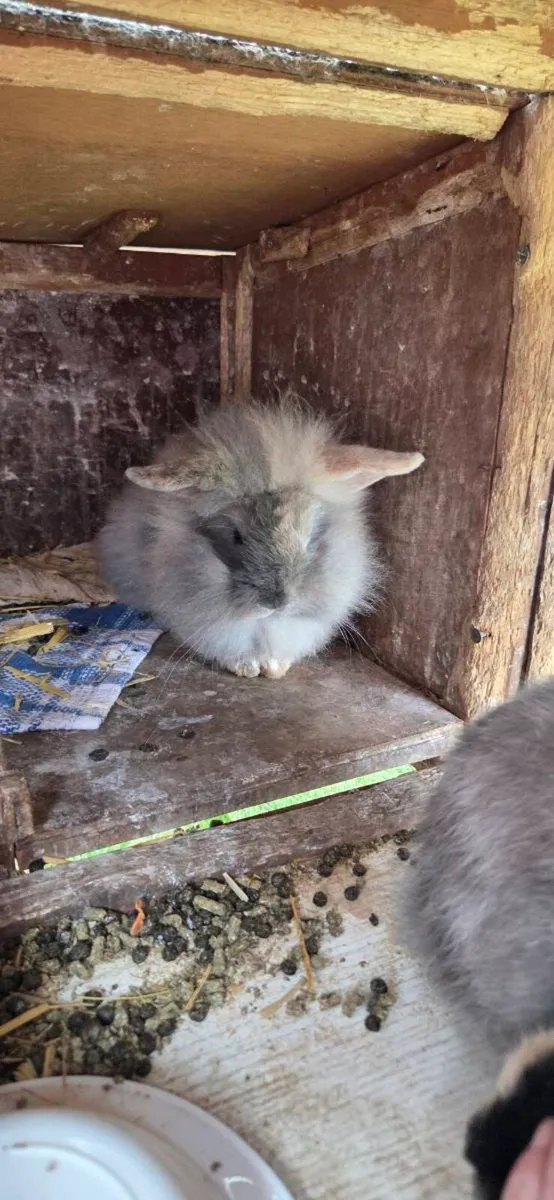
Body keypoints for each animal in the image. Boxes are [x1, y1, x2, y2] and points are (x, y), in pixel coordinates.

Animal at [98, 397, 424, 679]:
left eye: (308, 538)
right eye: (236, 536)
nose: (278, 602)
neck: (264, 624)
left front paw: (276, 668)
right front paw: (247, 668)